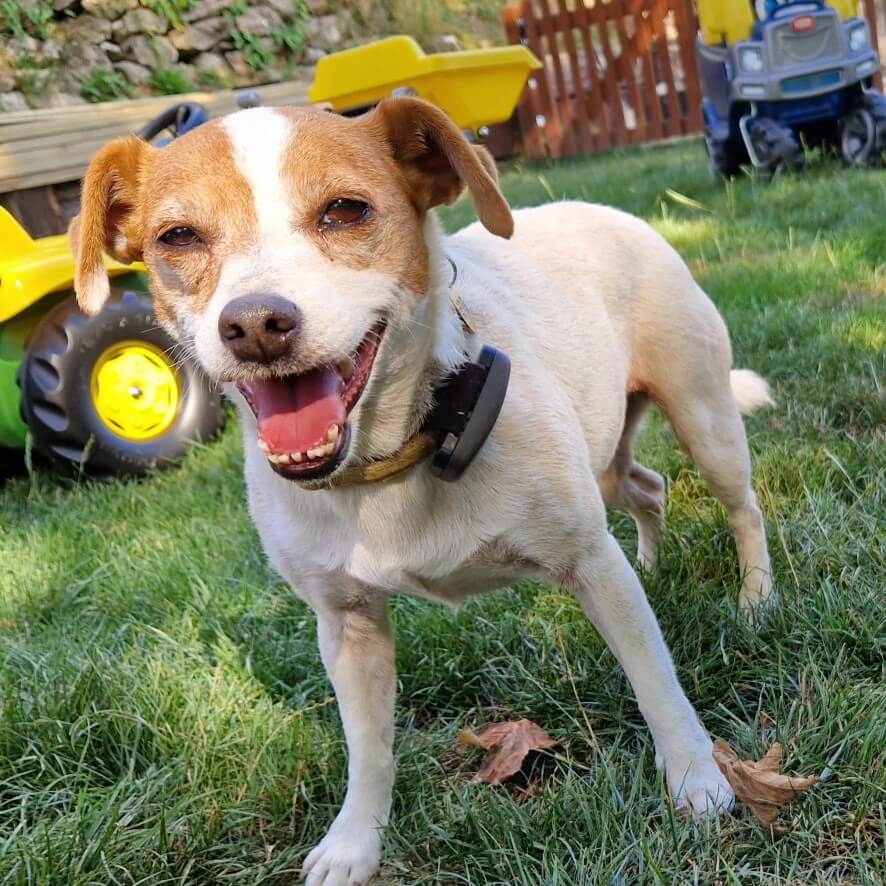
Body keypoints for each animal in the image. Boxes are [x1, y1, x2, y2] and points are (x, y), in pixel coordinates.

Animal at [73, 97, 772, 886]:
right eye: (178, 237)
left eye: (346, 210)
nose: (254, 324)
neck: (391, 458)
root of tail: (608, 211)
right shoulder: (346, 626)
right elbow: (368, 751)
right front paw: (356, 843)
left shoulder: (590, 564)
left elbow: (655, 681)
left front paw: (696, 780)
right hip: (607, 462)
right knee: (648, 488)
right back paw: (652, 561)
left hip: (705, 422)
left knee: (742, 508)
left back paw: (756, 598)